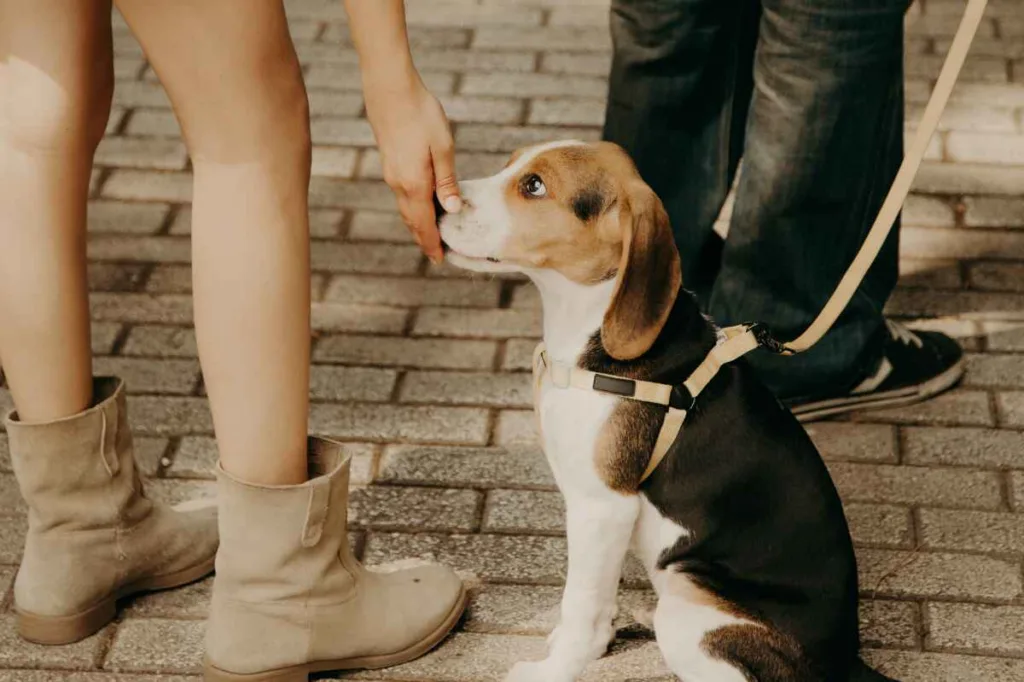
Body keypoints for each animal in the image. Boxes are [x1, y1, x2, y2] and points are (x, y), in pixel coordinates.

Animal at [440, 139, 897, 679]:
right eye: (511, 163)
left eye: (534, 186)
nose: (438, 202)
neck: (585, 329)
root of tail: (844, 661)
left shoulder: (602, 506)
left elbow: (581, 601)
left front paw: (556, 666)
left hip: (686, 599)